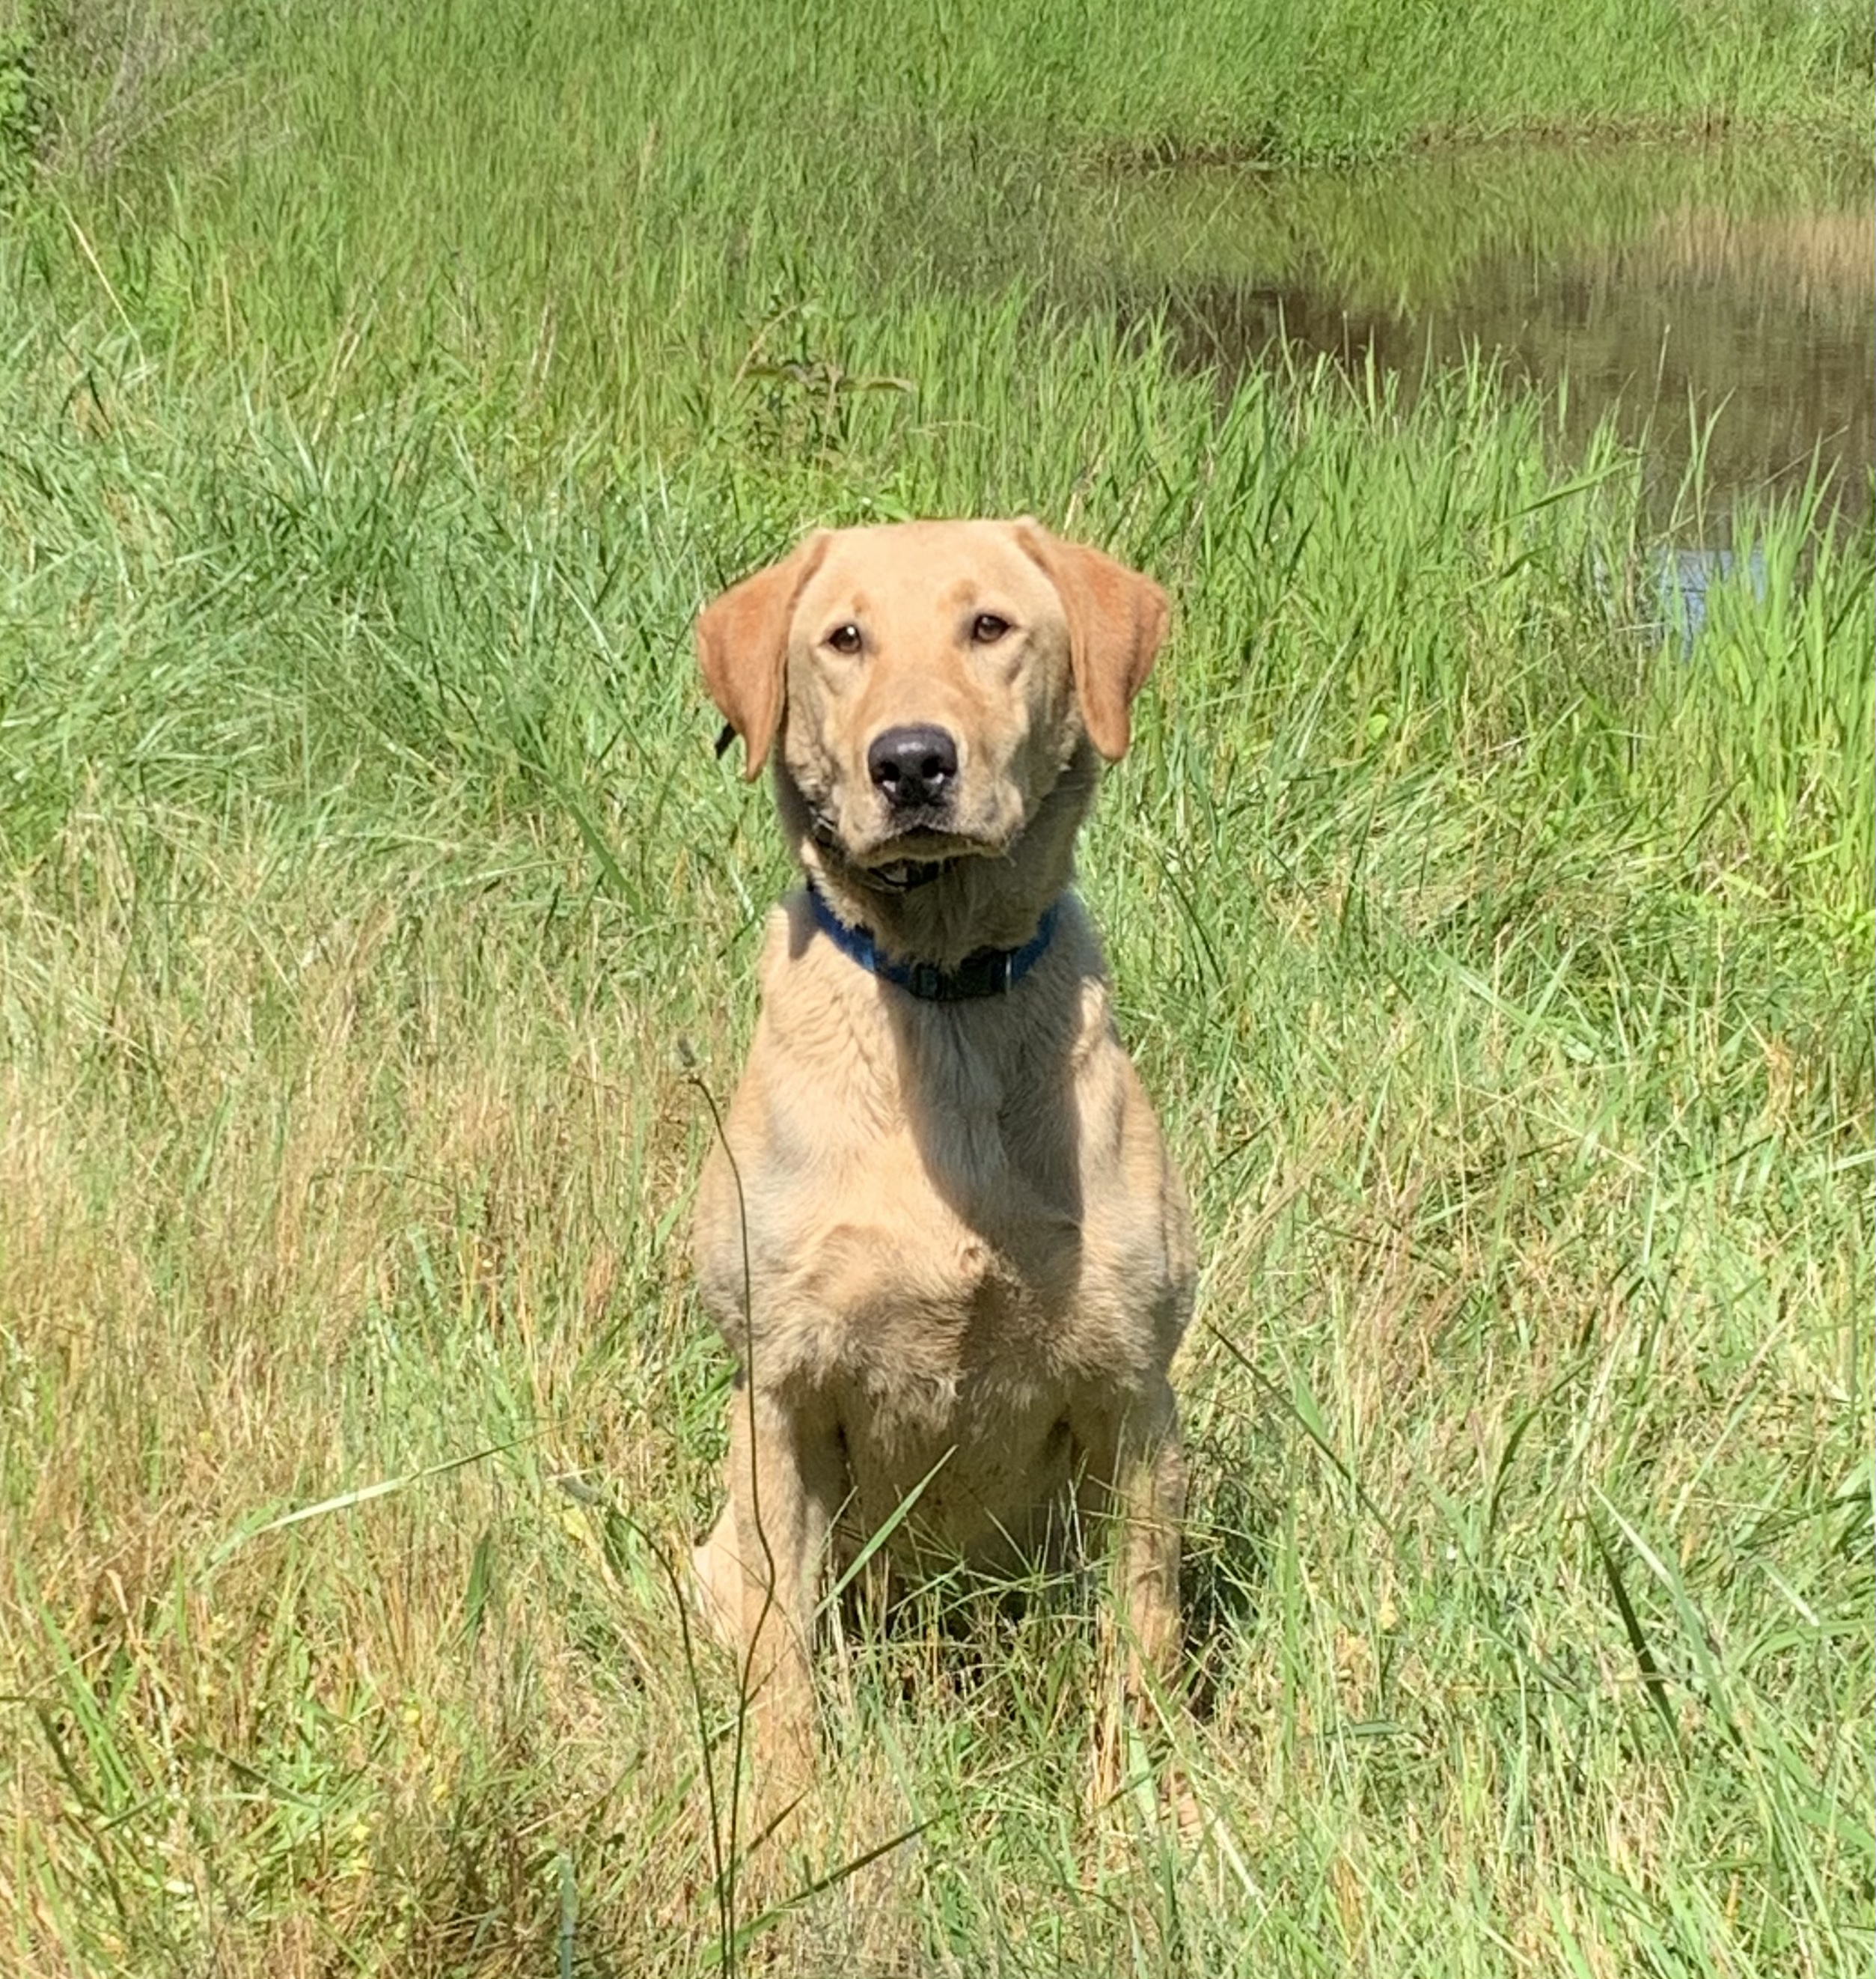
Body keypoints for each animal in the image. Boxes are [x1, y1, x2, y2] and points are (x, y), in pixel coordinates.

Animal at [685, 522, 1187, 1812]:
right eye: (842, 638)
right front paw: (785, 1817)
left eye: (989, 627)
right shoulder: (781, 1391)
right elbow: (780, 1648)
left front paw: (1133, 1819)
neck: (943, 996)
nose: (910, 764)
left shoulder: (1132, 1395)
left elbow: (1142, 1633)